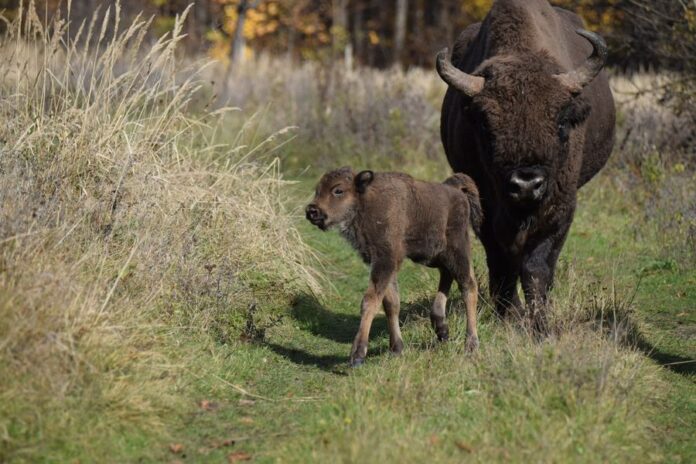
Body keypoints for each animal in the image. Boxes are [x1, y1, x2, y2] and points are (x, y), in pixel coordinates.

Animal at [308, 167, 482, 366]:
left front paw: (358, 354)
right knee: (447, 276)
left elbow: (370, 301)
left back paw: (471, 344)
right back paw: (441, 329)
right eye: (318, 190)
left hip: (457, 250)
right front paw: (396, 349)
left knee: (468, 287)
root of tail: (453, 189)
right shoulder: (383, 264)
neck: (365, 201)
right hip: (437, 255)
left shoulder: (386, 261)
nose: (312, 211)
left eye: (338, 190)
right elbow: (391, 304)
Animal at [438, 0, 616, 330]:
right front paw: (509, 314)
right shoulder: (485, 207)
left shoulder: (561, 206)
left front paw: (541, 324)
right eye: (486, 126)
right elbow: (501, 259)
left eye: (561, 121)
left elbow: (537, 265)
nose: (526, 184)